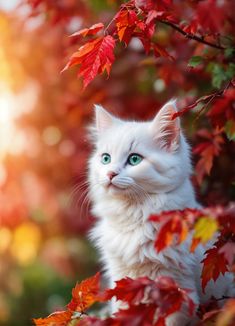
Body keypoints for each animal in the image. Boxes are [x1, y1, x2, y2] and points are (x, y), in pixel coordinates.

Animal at [87, 100, 233, 324]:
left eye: (134, 160)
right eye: (105, 159)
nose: (110, 173)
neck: (134, 216)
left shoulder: (176, 291)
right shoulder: (121, 283)